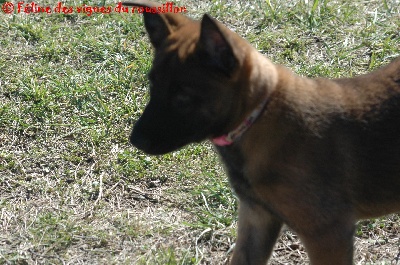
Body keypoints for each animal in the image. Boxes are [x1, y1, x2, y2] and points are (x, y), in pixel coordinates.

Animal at [122, 1, 400, 262]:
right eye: (152, 85)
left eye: (183, 98)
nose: (135, 140)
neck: (256, 118)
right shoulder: (257, 218)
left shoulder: (328, 234)